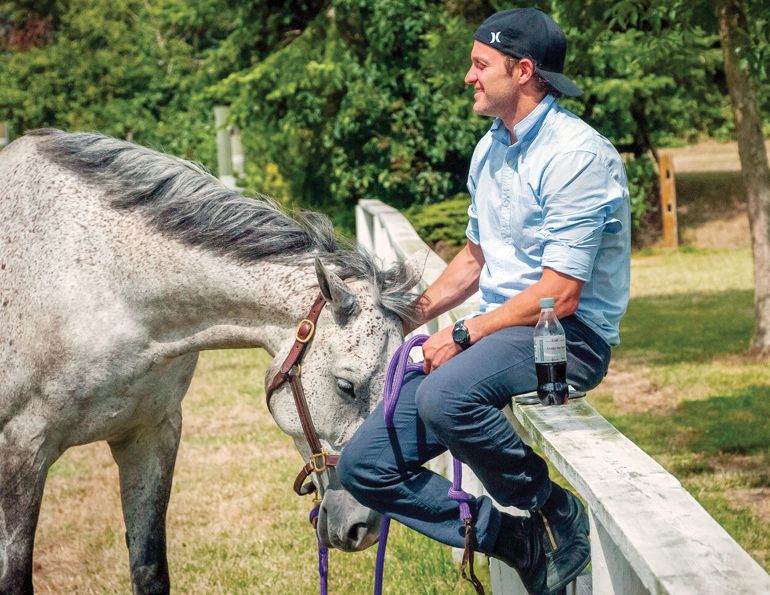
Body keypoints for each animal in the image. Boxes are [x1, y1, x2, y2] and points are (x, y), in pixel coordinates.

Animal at [0, 129, 418, 594]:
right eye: (346, 386)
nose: (365, 527)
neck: (103, 284)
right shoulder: (23, 449)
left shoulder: (152, 436)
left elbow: (150, 570)